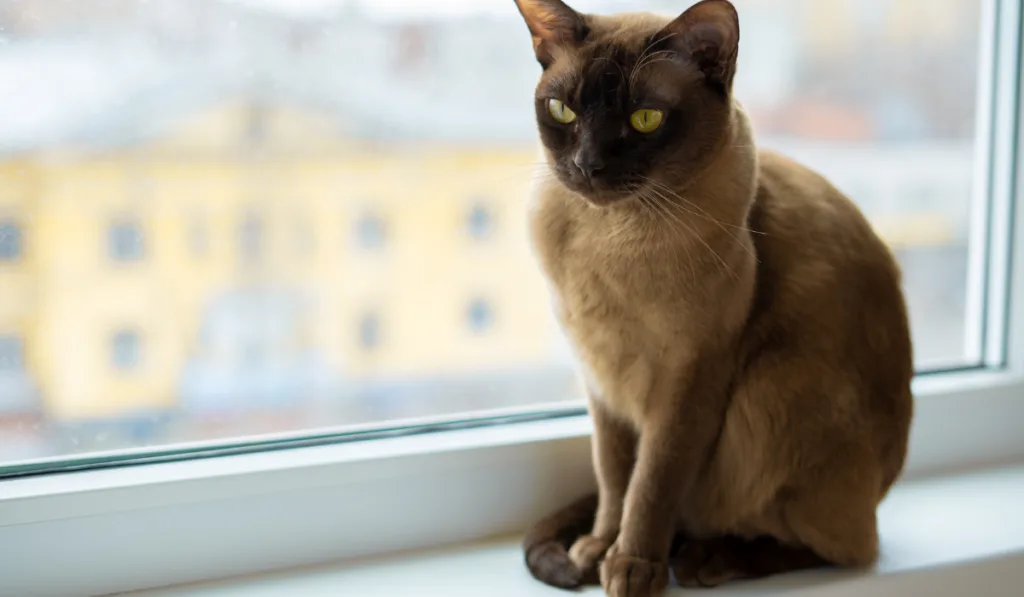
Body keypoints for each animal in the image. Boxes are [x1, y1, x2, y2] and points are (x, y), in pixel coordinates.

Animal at [516, 1, 917, 597]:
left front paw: (632, 566)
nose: (588, 166)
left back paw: (708, 560)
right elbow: (614, 479)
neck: (609, 238)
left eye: (646, 119)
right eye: (562, 111)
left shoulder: (687, 380)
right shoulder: (600, 382)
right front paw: (597, 550)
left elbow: (651, 484)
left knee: (846, 548)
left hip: (772, 389)